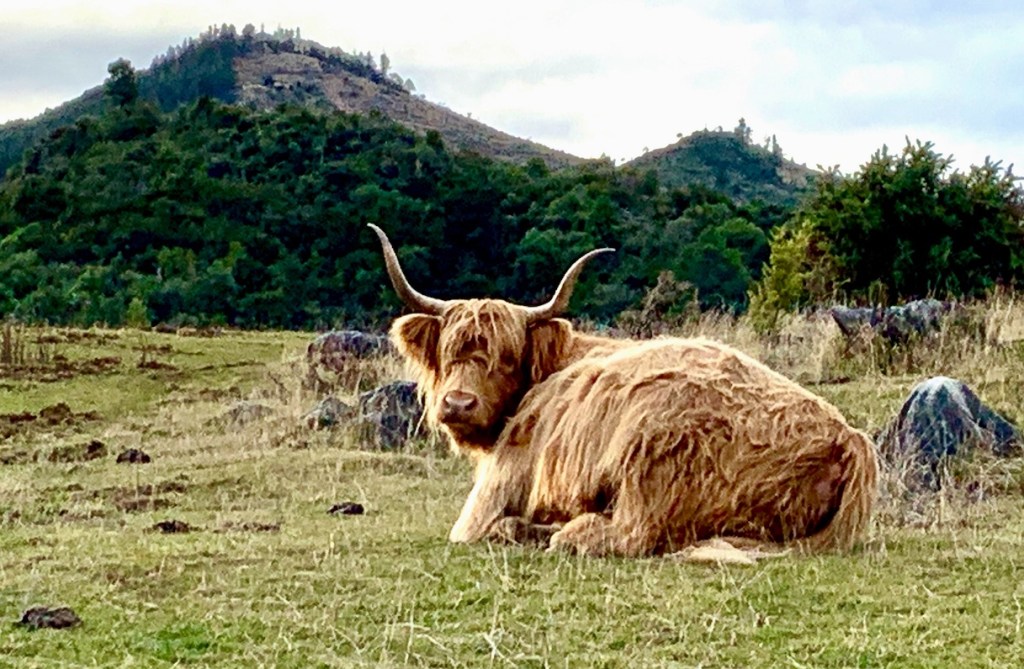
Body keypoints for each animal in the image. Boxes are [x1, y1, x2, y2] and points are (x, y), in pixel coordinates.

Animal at [368, 224, 878, 558]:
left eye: (507, 357)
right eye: (450, 351)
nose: (458, 404)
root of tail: (849, 438)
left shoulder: (490, 495)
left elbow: (478, 528)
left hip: (652, 449)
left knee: (630, 534)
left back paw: (564, 532)